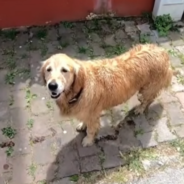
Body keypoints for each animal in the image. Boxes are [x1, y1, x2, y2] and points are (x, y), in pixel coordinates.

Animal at [40, 43, 172, 147]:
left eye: (64, 70)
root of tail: (162, 51)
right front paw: (82, 125)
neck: (81, 87)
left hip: (148, 88)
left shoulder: (92, 116)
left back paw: (140, 108)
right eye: (48, 69)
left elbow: (91, 130)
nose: (52, 85)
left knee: (148, 99)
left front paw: (88, 140)